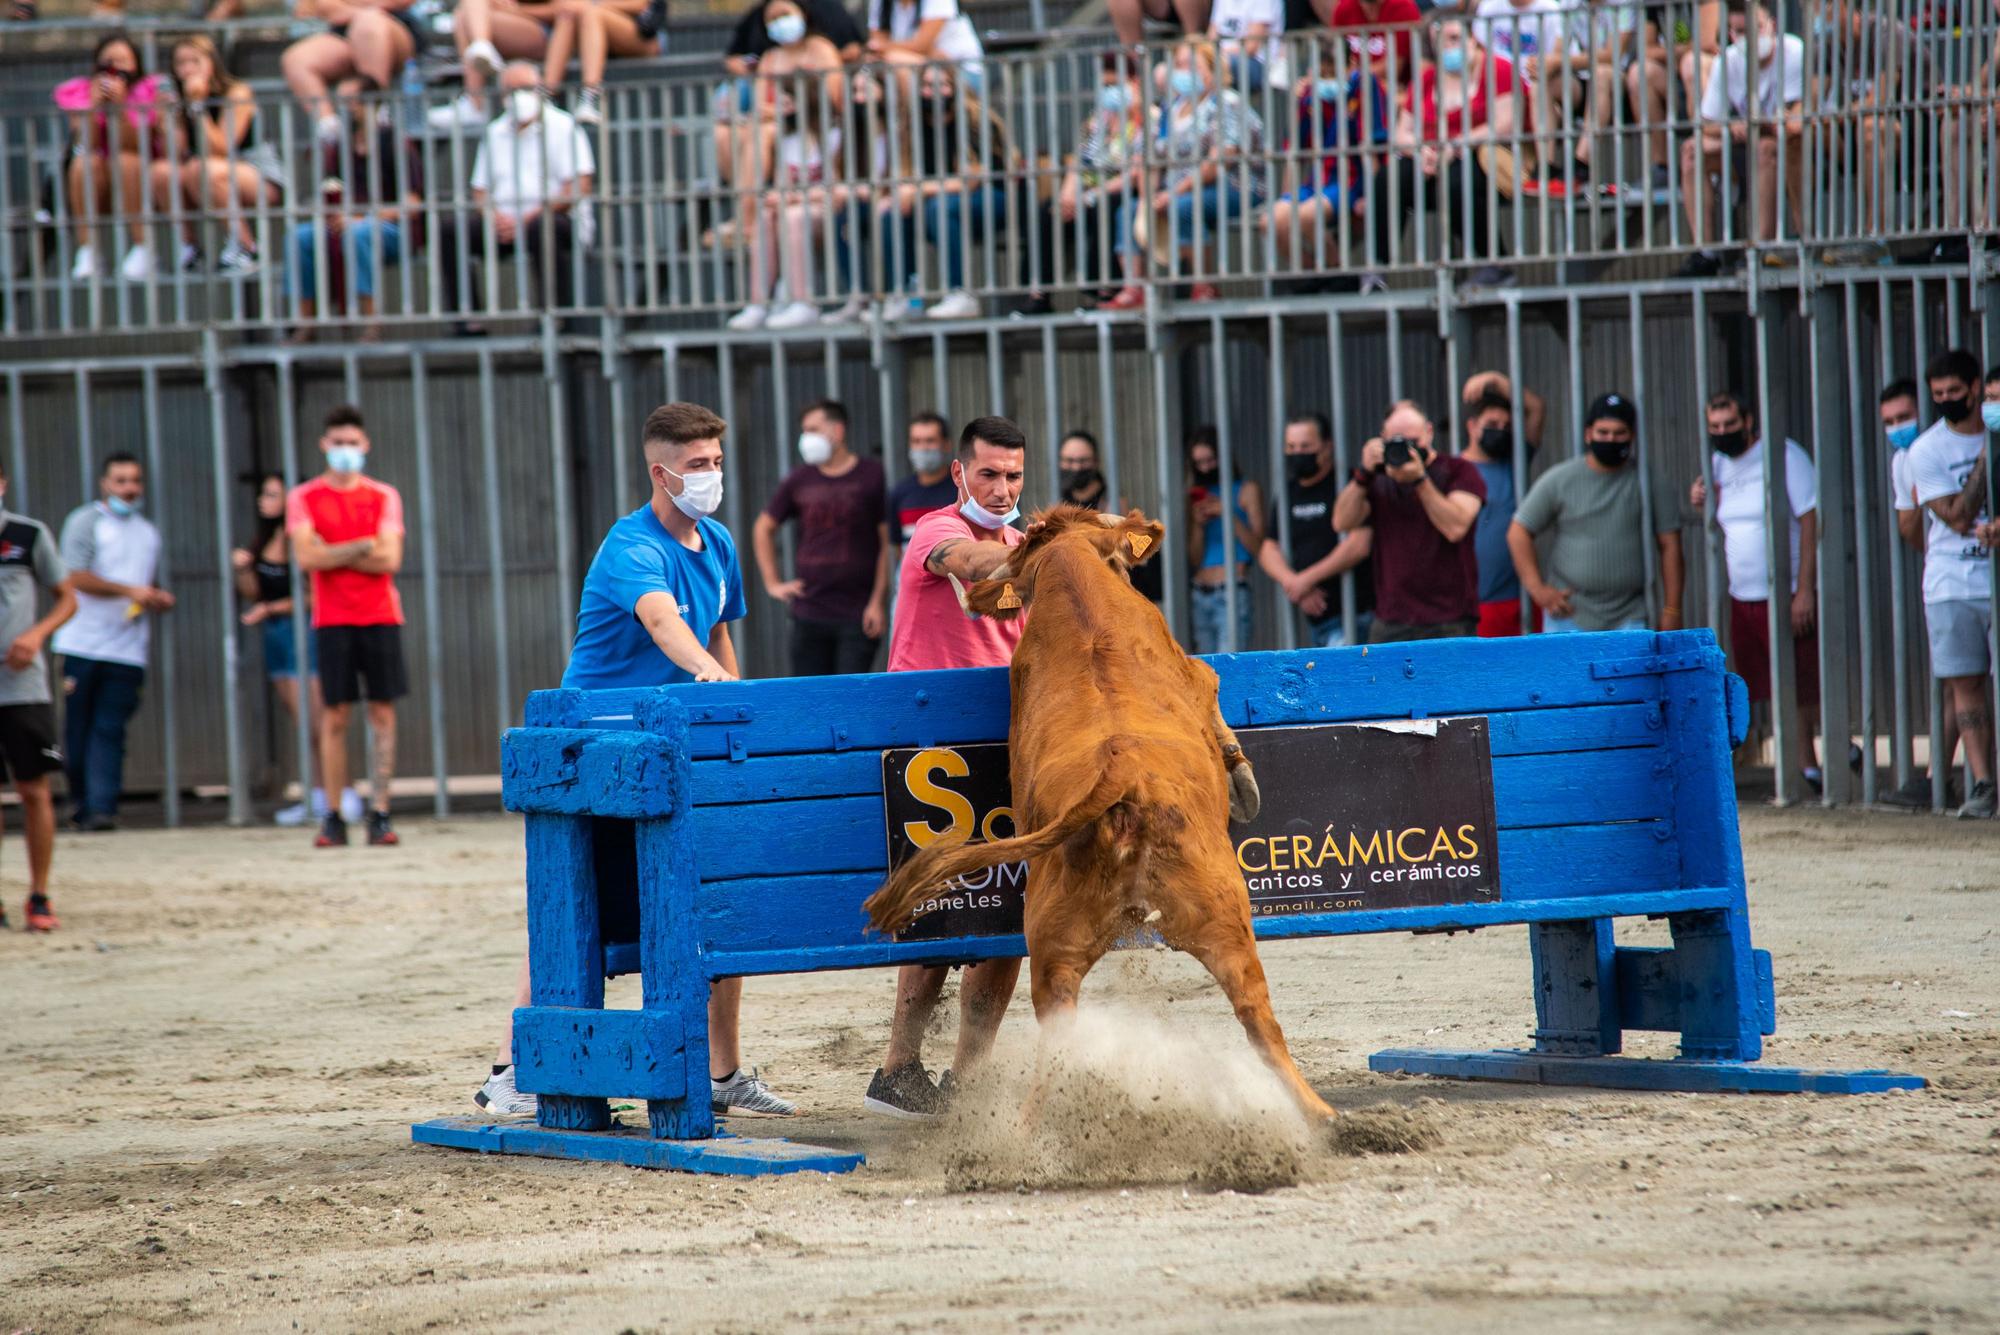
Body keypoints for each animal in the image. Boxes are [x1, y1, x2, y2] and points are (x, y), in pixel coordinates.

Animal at [868, 505, 1336, 1119]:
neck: (1073, 577)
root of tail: (1124, 779)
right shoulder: (1196, 673)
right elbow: (1212, 689)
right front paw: (1240, 776)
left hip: (1066, 944)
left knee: (1072, 1031)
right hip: (1218, 912)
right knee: (1256, 1011)